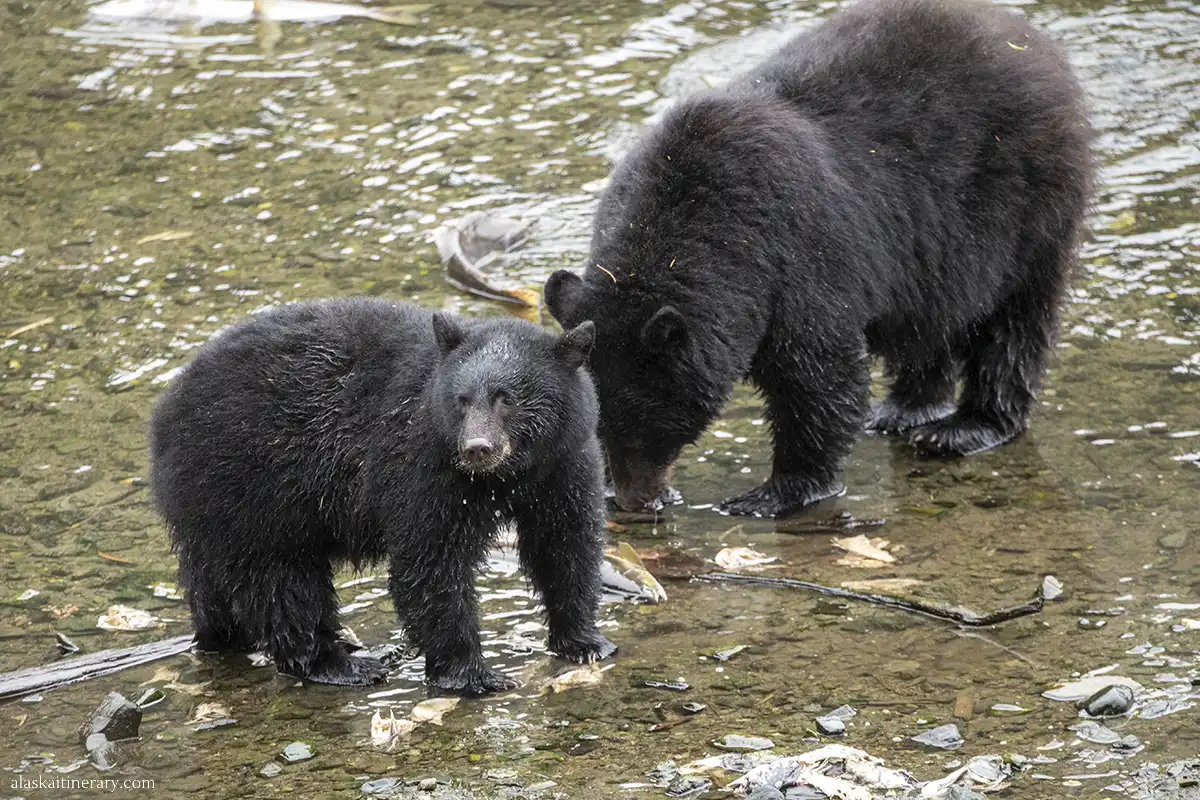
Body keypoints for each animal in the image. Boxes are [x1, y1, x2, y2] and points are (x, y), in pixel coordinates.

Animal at [148, 298, 616, 694]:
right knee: (281, 582)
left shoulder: (563, 464)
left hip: (214, 507)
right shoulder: (421, 463)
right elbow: (430, 559)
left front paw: (585, 640)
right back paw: (338, 663)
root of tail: (164, 412)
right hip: (252, 488)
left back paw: (228, 637)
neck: (506, 476)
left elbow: (565, 543)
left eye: (507, 399)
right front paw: (472, 673)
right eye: (462, 400)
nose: (477, 448)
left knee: (214, 583)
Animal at [545, 0, 1093, 518]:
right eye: (598, 425)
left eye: (645, 423)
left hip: (1027, 205)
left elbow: (818, 373)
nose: (635, 499)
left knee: (1015, 320)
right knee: (929, 318)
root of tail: (1032, 38)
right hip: (937, 252)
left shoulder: (798, 256)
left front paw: (776, 492)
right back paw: (907, 409)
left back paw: (969, 427)